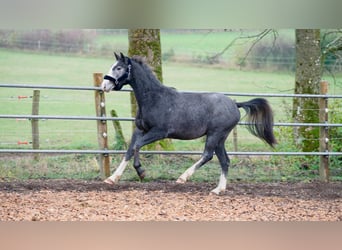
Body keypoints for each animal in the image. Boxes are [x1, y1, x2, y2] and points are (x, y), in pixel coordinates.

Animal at [99, 51, 276, 194]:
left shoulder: (159, 132)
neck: (154, 98)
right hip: (220, 138)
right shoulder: (140, 129)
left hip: (215, 134)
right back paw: (218, 190)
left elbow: (137, 146)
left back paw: (183, 177)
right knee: (224, 161)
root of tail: (235, 104)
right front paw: (112, 178)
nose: (104, 85)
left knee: (208, 155)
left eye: (119, 68)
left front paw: (141, 172)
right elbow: (130, 150)